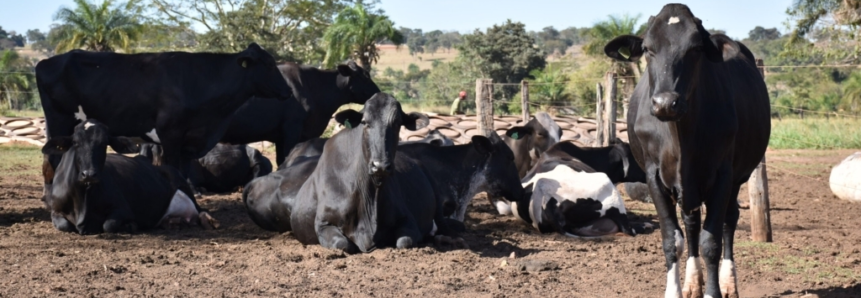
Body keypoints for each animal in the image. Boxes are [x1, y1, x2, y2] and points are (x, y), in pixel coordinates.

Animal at [37, 44, 294, 192]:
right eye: (269, 64)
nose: (288, 91)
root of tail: (46, 61)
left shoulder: (189, 142)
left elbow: (185, 171)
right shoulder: (171, 135)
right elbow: (174, 170)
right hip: (59, 120)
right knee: (54, 159)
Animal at [41, 120, 217, 234]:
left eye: (104, 143)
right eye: (76, 143)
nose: (89, 174)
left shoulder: (123, 208)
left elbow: (108, 225)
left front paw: (129, 226)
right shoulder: (55, 210)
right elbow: (64, 225)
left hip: (182, 184)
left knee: (201, 210)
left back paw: (209, 221)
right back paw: (173, 222)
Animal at [600, 3, 768, 296]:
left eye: (695, 48)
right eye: (647, 48)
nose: (666, 103)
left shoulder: (723, 175)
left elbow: (711, 242)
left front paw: (713, 290)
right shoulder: (654, 176)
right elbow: (672, 239)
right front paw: (676, 289)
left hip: (738, 177)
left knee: (729, 220)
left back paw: (728, 283)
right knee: (691, 224)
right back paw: (692, 282)